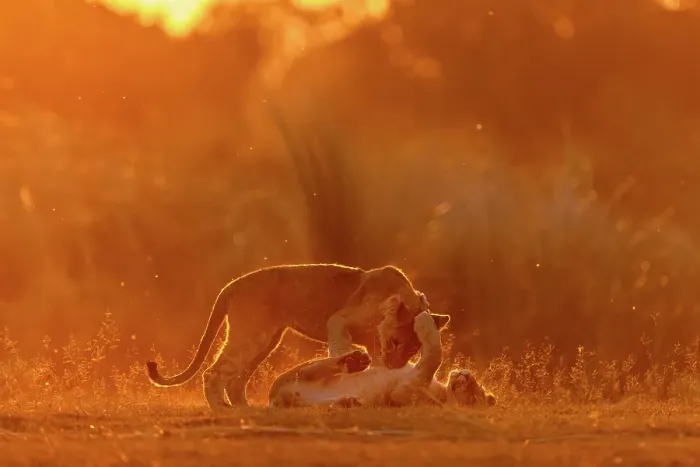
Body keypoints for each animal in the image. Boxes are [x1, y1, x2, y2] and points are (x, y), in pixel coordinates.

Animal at [145, 263, 450, 410]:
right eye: (397, 342)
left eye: (412, 350)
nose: (395, 366)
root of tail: (230, 285)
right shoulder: (338, 320)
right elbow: (340, 345)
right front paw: (351, 363)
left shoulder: (373, 341)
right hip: (253, 335)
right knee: (214, 372)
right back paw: (222, 408)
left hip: (267, 340)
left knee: (237, 380)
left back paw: (246, 408)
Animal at [268, 310, 496, 409]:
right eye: (477, 388)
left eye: (474, 395)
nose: (465, 375)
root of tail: (275, 399)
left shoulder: (403, 394)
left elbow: (434, 354)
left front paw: (424, 322)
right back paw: (355, 364)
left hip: (299, 388)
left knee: (307, 377)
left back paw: (351, 387)